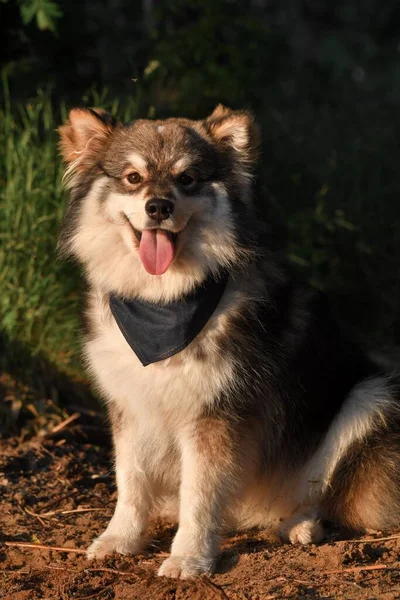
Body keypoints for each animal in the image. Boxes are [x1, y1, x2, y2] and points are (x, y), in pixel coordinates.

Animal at [57, 105, 400, 580]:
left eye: (186, 178)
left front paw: (188, 557)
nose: (158, 207)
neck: (164, 302)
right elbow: (131, 481)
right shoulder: (132, 406)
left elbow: (201, 495)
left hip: (370, 396)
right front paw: (120, 538)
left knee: (325, 495)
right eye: (132, 177)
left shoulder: (215, 415)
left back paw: (300, 524)